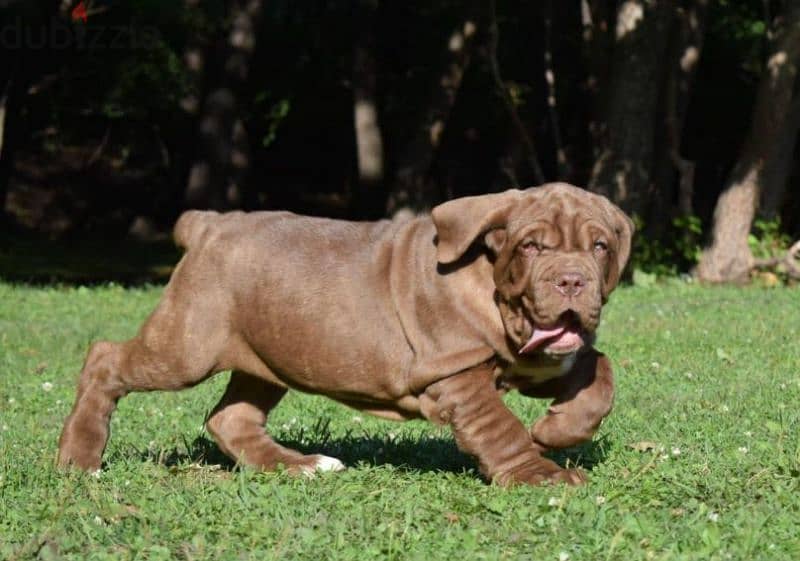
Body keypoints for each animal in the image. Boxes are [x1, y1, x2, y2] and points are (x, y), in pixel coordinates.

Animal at [57, 182, 632, 484]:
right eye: (532, 247)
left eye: (599, 246)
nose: (572, 280)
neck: (492, 289)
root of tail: (210, 223)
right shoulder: (458, 376)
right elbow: (501, 428)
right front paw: (541, 473)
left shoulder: (540, 360)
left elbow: (598, 371)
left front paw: (559, 429)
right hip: (187, 346)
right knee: (104, 358)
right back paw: (79, 459)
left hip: (267, 354)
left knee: (230, 419)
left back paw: (301, 466)